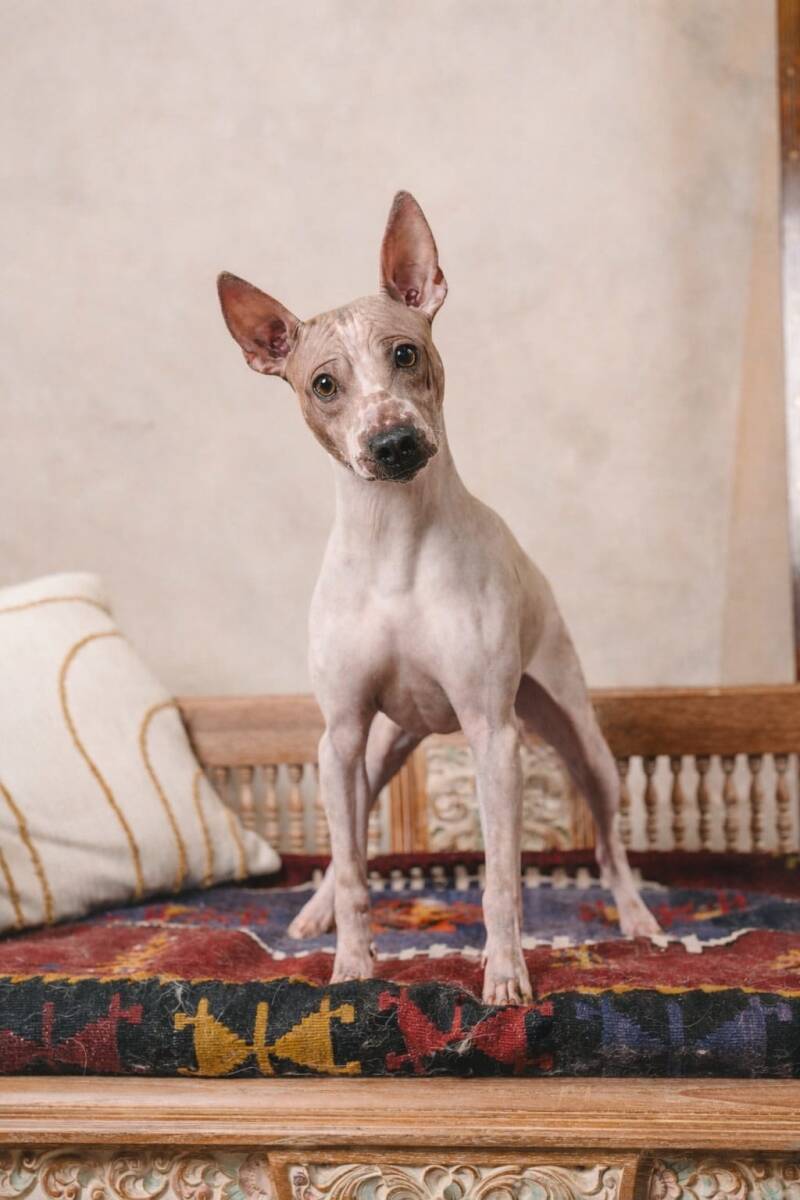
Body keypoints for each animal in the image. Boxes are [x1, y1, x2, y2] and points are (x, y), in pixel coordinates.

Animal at [217, 191, 659, 1004]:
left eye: (405, 354)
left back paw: (638, 917)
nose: (391, 443)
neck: (394, 543)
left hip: (583, 741)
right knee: (347, 841)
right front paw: (352, 967)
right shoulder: (342, 735)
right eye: (323, 384)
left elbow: (500, 879)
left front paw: (507, 975)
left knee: (612, 846)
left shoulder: (494, 736)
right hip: (375, 751)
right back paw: (314, 912)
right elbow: (354, 871)